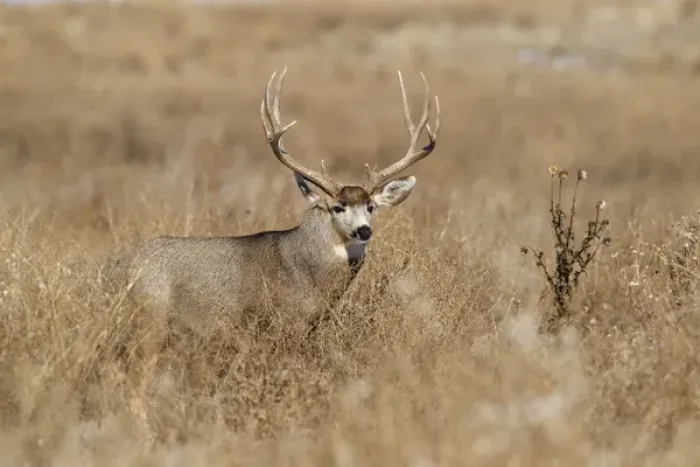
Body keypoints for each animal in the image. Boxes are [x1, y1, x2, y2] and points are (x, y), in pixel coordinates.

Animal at [104, 68, 441, 345]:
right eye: (338, 207)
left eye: (371, 206)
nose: (364, 231)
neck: (306, 271)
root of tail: (114, 267)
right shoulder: (278, 322)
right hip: (150, 317)